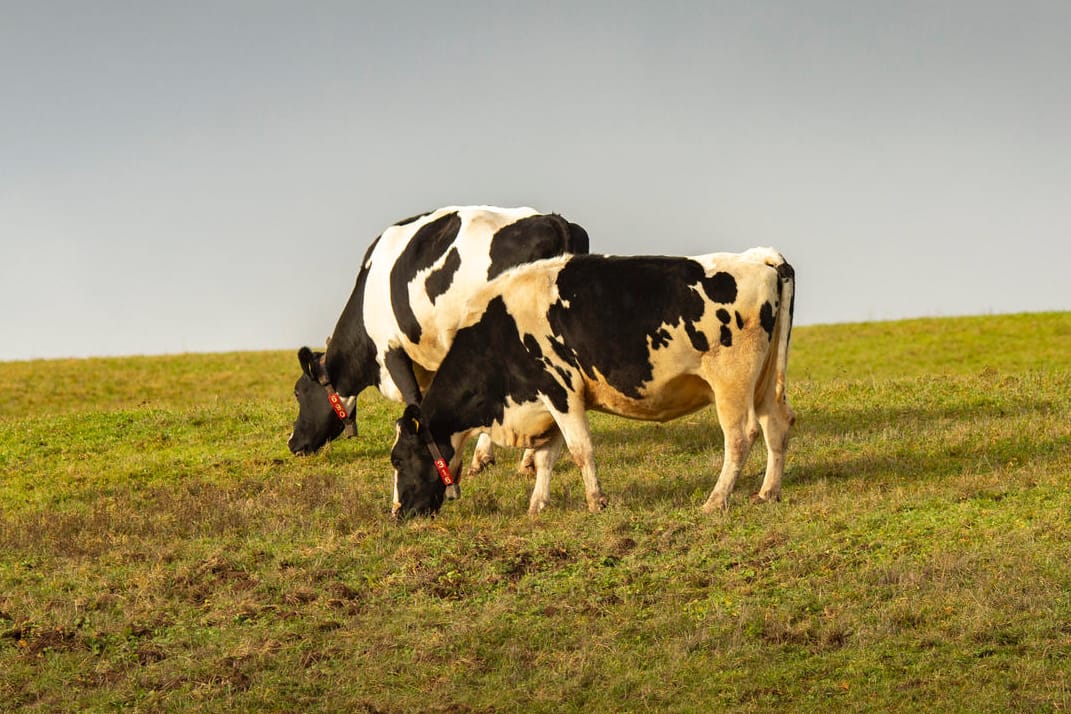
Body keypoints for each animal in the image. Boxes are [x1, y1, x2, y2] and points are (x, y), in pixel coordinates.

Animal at [391, 248, 796, 515]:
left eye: (397, 459)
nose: (398, 513)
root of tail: (759, 257)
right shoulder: (548, 400)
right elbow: (546, 456)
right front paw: (537, 506)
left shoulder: (561, 388)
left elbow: (580, 449)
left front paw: (596, 501)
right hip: (763, 383)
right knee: (777, 424)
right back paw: (767, 492)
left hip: (732, 381)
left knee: (741, 436)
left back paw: (716, 500)